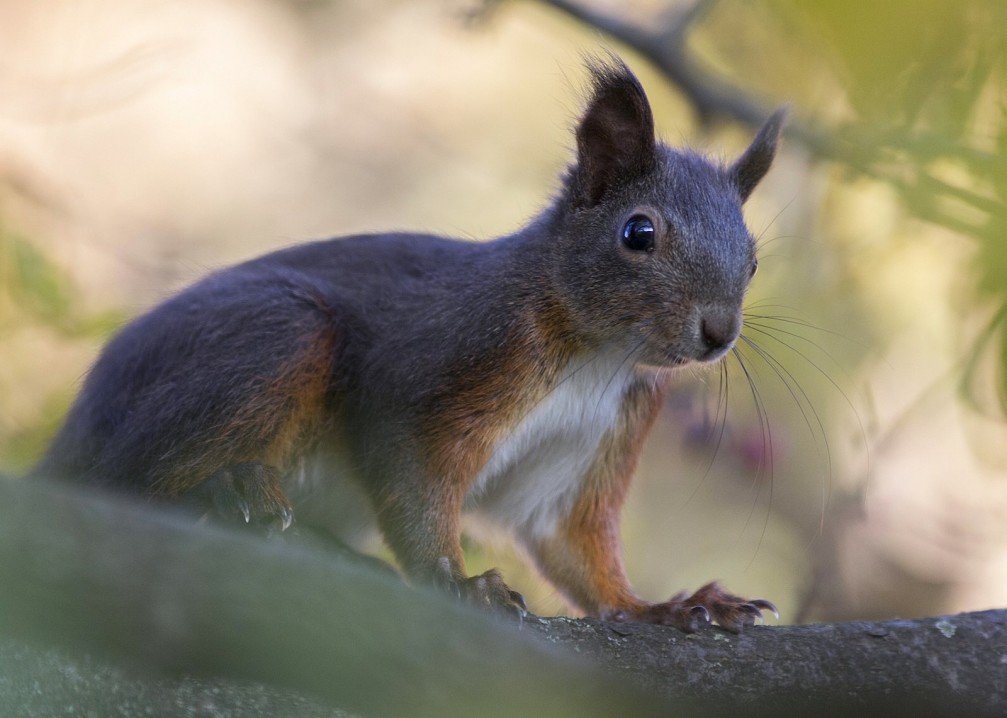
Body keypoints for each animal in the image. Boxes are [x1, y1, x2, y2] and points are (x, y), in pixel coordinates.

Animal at [31, 61, 785, 632]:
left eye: (752, 261)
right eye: (638, 233)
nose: (718, 332)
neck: (600, 355)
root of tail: (66, 444)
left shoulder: (591, 443)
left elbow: (573, 545)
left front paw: (660, 607)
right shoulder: (438, 371)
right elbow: (413, 483)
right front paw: (456, 581)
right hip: (275, 335)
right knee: (127, 477)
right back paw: (231, 488)